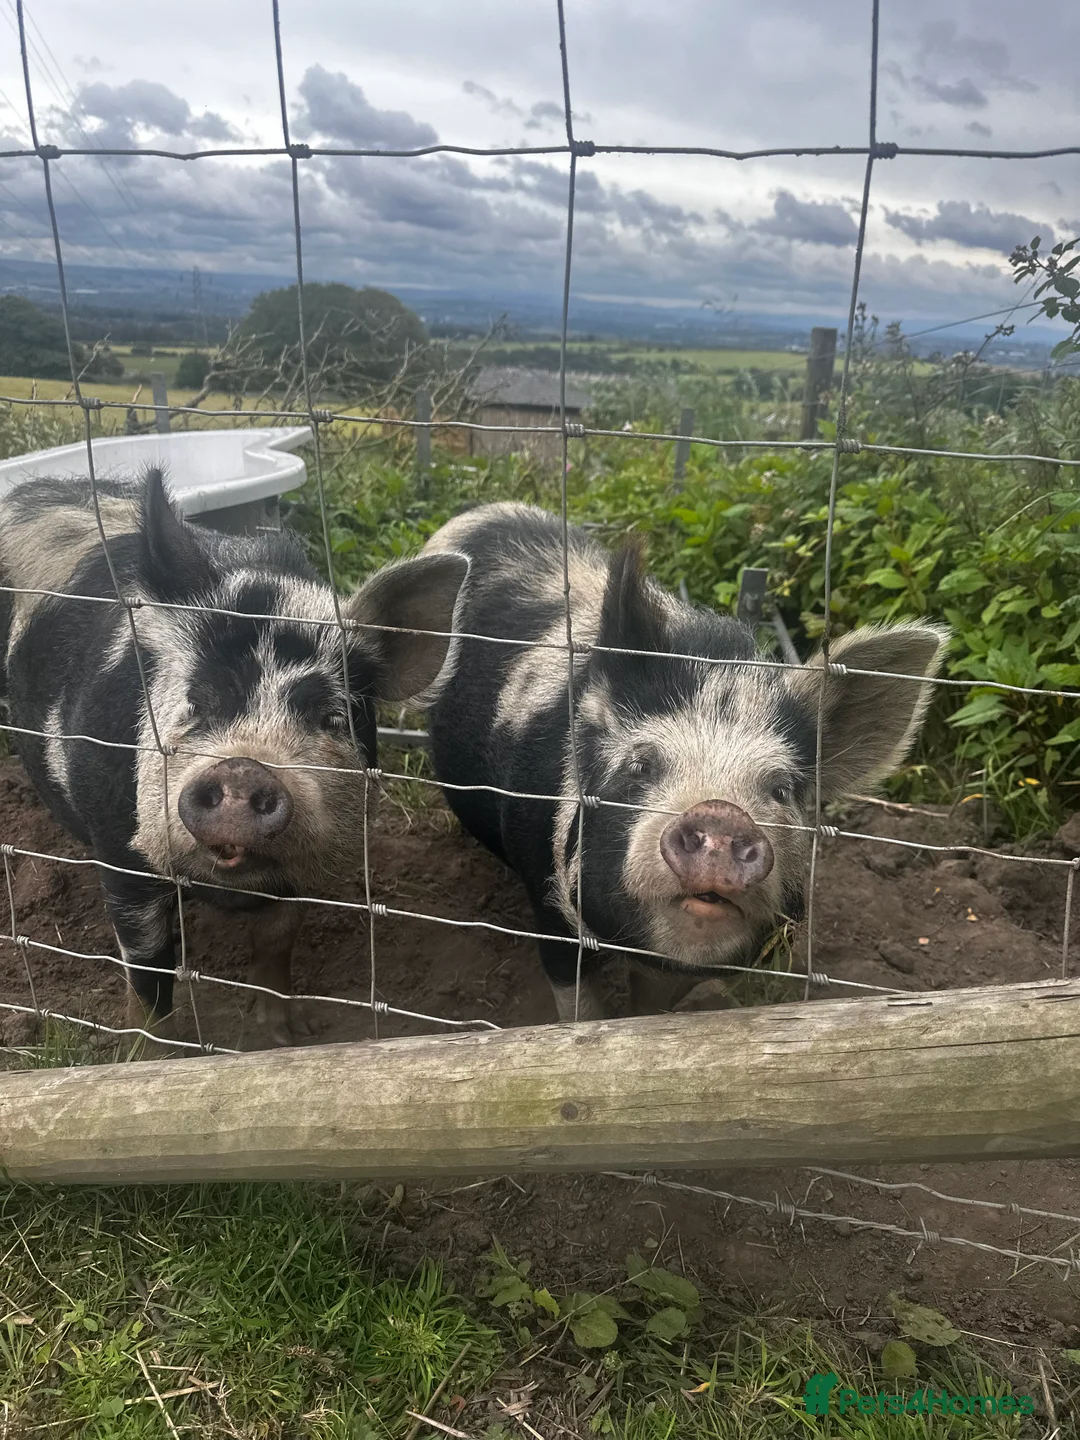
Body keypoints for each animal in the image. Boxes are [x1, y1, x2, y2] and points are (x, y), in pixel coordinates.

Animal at [0, 469, 468, 1045]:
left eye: (330, 717)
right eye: (196, 702)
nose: (243, 768)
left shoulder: (299, 872)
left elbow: (275, 943)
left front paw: (285, 1035)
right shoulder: (120, 851)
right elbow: (148, 968)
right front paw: (154, 1051)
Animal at [424, 502, 947, 1021]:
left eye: (781, 788)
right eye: (640, 766)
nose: (721, 813)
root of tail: (487, 510)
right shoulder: (550, 909)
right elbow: (578, 1008)